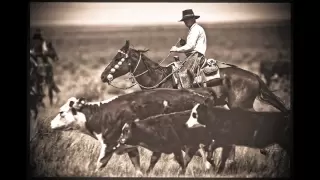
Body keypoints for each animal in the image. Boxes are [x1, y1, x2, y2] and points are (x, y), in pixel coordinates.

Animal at [50, 87, 235, 176]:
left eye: (61, 112)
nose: (51, 124)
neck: (104, 115)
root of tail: (204, 96)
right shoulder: (129, 145)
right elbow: (136, 163)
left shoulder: (109, 144)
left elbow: (100, 163)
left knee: (208, 152)